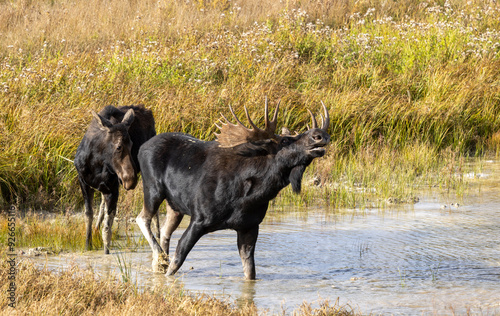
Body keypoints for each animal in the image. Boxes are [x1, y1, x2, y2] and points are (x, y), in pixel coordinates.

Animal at [73, 105, 156, 254]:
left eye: (132, 145)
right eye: (119, 146)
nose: (130, 180)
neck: (96, 164)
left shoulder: (113, 189)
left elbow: (108, 226)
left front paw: (106, 251)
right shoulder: (84, 182)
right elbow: (89, 215)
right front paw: (88, 244)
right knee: (101, 206)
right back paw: (96, 229)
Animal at [136, 99, 332, 278]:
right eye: (284, 140)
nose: (319, 134)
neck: (250, 196)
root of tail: (141, 147)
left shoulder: (249, 226)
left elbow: (250, 271)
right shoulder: (199, 220)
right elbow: (177, 261)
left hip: (175, 206)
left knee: (165, 231)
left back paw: (158, 262)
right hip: (153, 189)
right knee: (142, 218)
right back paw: (160, 258)